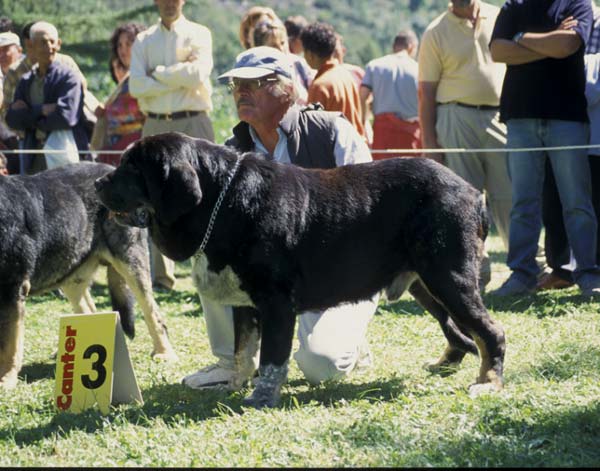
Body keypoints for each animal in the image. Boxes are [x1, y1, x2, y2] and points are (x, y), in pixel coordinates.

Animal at [0, 164, 177, 390]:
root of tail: (112, 169)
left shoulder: (11, 290)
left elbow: (9, 347)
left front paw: (6, 378)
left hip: (130, 263)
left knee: (152, 313)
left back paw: (164, 353)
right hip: (70, 274)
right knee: (90, 311)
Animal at [97, 132, 506, 410]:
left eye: (132, 167)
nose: (100, 181)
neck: (222, 201)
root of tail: (473, 193)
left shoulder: (277, 303)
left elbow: (271, 358)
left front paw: (261, 397)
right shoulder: (246, 304)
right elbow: (244, 350)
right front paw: (234, 383)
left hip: (447, 278)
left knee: (490, 332)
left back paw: (488, 382)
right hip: (427, 285)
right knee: (458, 329)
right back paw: (447, 362)